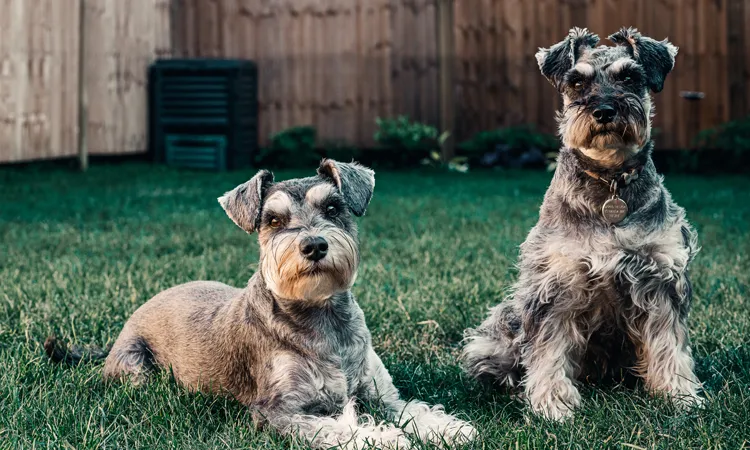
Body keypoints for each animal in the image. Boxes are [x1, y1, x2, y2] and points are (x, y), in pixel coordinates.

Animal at [45, 160, 476, 448]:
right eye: (273, 220)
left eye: (333, 208)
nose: (314, 245)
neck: (323, 319)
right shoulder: (277, 411)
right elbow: (335, 427)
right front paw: (383, 439)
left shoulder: (381, 394)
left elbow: (412, 409)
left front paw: (449, 428)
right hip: (137, 370)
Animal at [464, 29, 704, 422]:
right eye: (577, 82)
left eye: (629, 77)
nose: (604, 111)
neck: (610, 181)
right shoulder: (556, 284)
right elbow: (547, 349)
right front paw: (552, 403)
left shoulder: (661, 279)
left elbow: (669, 343)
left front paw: (680, 395)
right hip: (502, 325)